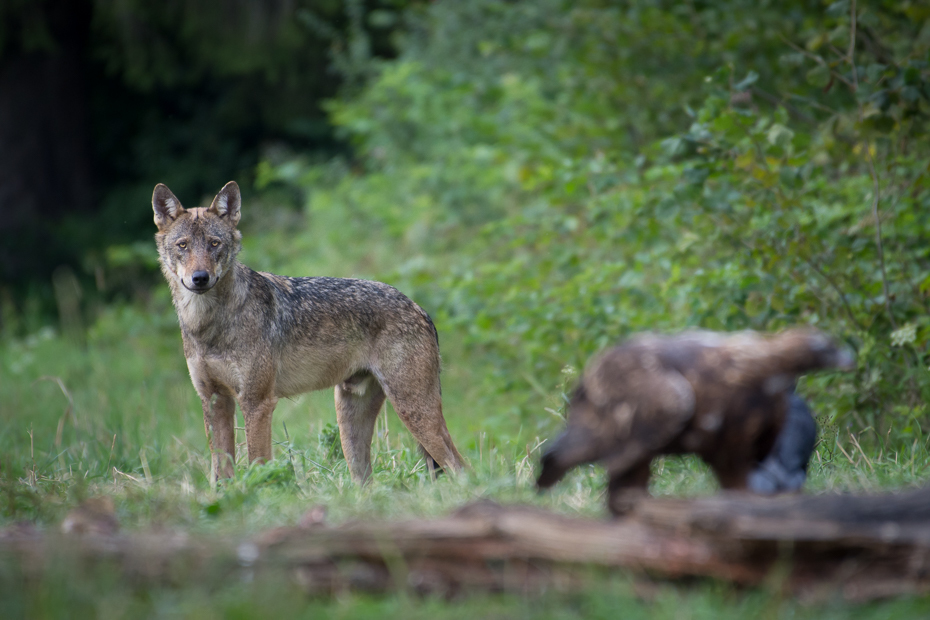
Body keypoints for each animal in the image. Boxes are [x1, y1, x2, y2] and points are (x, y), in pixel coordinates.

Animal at [155, 182, 468, 482]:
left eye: (214, 243)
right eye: (183, 245)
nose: (200, 278)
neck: (207, 326)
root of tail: (420, 308)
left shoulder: (257, 403)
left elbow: (258, 466)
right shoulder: (214, 401)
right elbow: (221, 474)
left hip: (413, 410)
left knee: (460, 467)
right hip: (350, 423)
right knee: (367, 482)